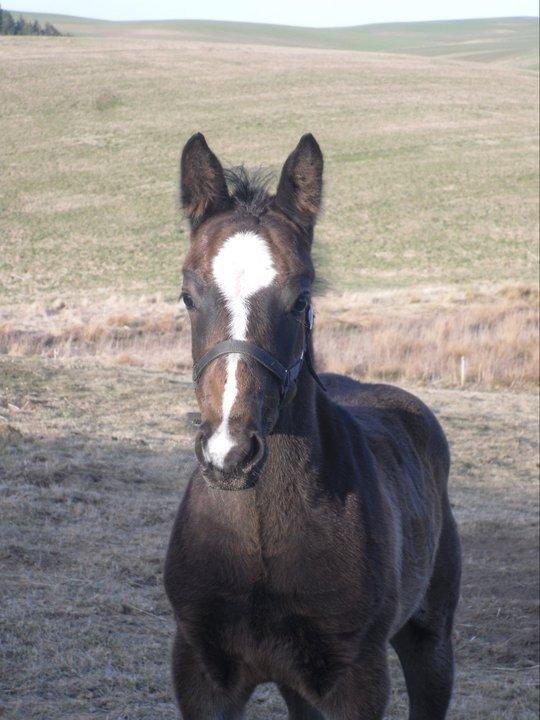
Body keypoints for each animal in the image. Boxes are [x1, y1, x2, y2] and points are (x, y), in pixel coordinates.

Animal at [163, 132, 460, 716]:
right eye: (188, 296)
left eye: (301, 299)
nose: (230, 453)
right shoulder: (201, 673)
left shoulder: (357, 680)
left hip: (431, 638)